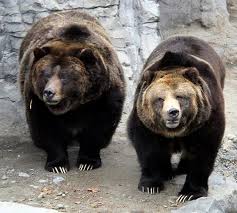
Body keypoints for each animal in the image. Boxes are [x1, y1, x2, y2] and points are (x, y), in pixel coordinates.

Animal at [19, 10, 125, 173]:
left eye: (64, 77)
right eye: (46, 75)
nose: (49, 92)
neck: (75, 105)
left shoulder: (103, 96)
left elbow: (100, 127)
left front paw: (87, 162)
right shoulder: (37, 100)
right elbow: (46, 127)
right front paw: (58, 164)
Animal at [128, 35, 226, 202]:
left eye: (180, 96)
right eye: (160, 99)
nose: (172, 112)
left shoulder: (206, 118)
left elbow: (203, 150)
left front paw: (190, 192)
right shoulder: (145, 120)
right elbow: (148, 146)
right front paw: (151, 184)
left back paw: (181, 168)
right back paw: (167, 172)